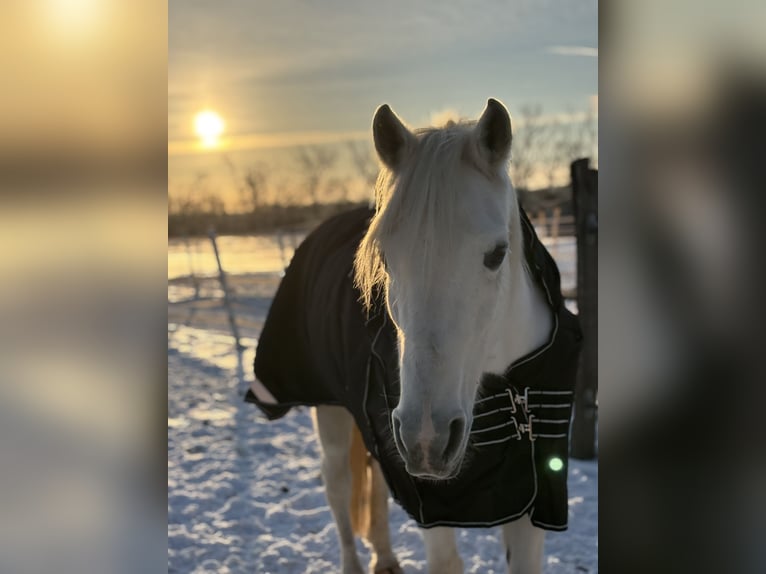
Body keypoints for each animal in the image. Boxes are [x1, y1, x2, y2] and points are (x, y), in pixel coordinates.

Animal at [246, 99, 581, 574]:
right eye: (385, 258)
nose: (427, 438)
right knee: (338, 488)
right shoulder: (431, 502)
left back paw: (386, 558)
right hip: (330, 413)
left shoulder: (533, 495)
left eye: (497, 254)